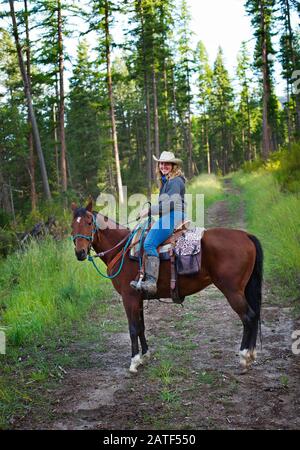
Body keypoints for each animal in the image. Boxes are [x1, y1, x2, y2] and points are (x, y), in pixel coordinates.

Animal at [71, 200, 262, 372]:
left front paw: (134, 362)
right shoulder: (138, 298)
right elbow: (141, 327)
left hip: (232, 291)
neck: (121, 250)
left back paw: (245, 357)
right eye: (72, 226)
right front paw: (145, 356)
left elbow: (133, 328)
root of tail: (246, 236)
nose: (80, 253)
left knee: (249, 317)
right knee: (253, 316)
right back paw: (251, 355)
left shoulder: (129, 297)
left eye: (89, 223)